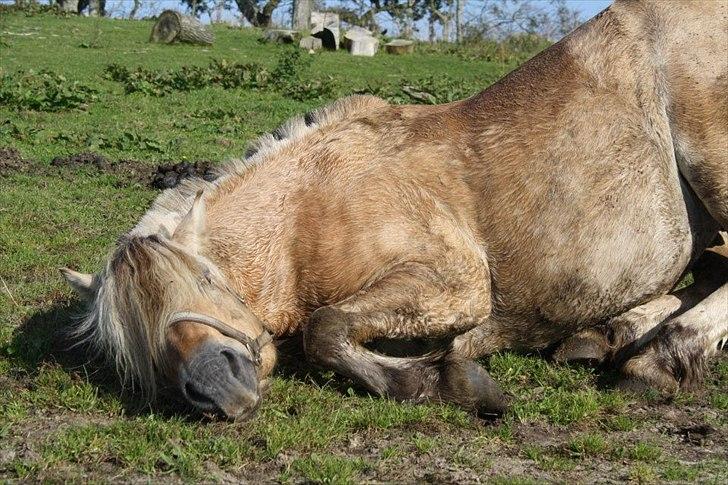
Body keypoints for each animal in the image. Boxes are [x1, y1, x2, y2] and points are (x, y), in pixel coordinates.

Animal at [64, 0, 728, 418]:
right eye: (134, 348)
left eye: (204, 280)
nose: (213, 386)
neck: (309, 205)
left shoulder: (455, 283)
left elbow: (325, 328)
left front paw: (441, 380)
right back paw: (609, 334)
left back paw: (664, 356)